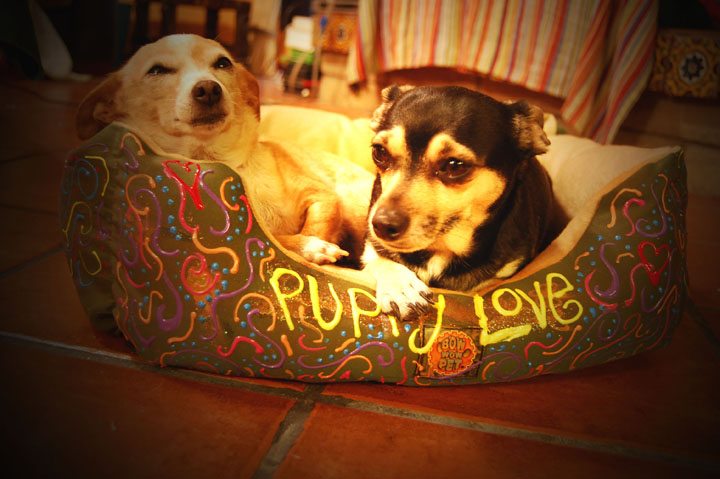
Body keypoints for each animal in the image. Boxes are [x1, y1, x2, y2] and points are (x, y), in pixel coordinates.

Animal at [76, 34, 373, 265]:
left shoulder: (322, 197)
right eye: (157, 71)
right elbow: (279, 239)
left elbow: (312, 227)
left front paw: (314, 247)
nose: (208, 88)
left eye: (223, 63)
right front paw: (309, 247)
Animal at [362, 85, 568, 319]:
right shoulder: (372, 246)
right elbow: (379, 260)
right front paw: (401, 286)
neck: (440, 249)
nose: (381, 225)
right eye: (379, 152)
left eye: (455, 165)